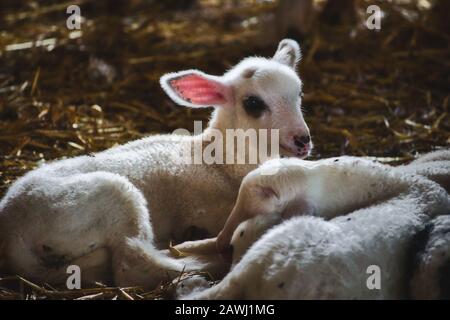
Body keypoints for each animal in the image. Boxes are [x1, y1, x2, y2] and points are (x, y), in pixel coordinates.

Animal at [0, 39, 312, 288]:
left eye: (299, 94)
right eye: (253, 103)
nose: (303, 140)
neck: (221, 163)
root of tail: (12, 234)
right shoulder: (211, 210)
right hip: (109, 198)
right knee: (132, 264)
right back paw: (200, 261)